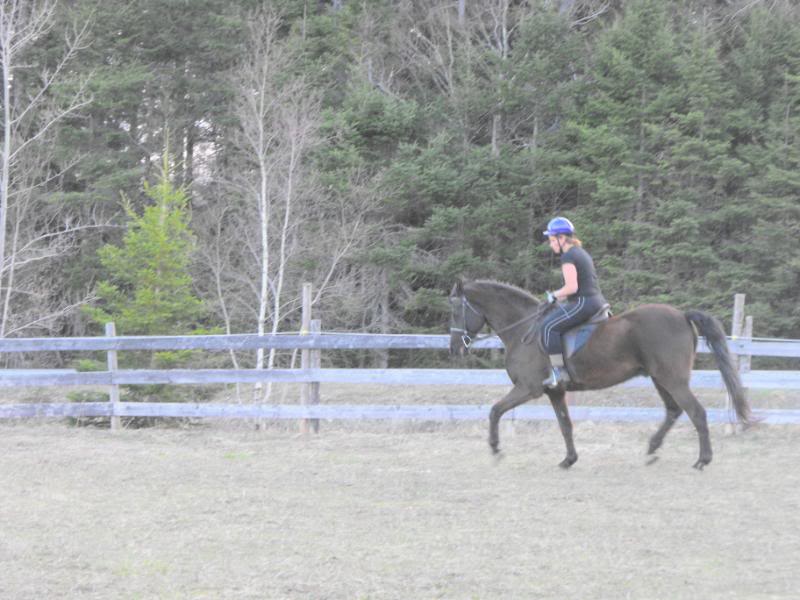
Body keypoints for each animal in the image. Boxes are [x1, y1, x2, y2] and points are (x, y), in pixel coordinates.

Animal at [450, 278, 756, 472]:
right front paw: (569, 460)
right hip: (661, 379)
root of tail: (681, 315)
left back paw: (702, 460)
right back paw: (652, 449)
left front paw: (495, 449)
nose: (455, 348)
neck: (524, 329)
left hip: (673, 379)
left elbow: (495, 410)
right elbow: (565, 425)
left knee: (696, 413)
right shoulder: (555, 391)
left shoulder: (529, 388)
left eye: (456, 310)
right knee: (673, 411)